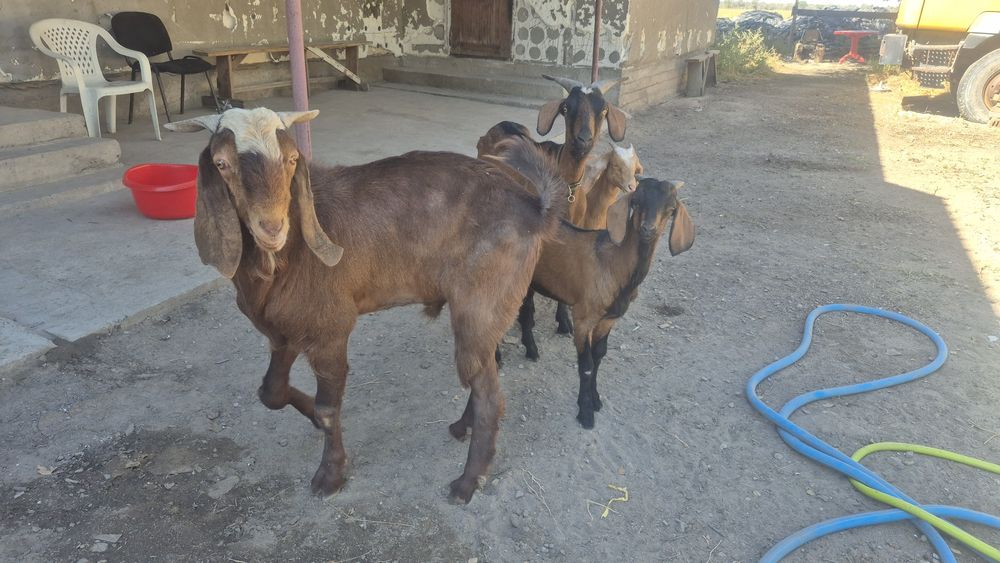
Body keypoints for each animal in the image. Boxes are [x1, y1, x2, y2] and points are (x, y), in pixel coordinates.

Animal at [165, 108, 565, 504]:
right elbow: (270, 392)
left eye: (292, 159)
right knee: (484, 374)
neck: (288, 254)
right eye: (221, 163)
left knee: (489, 395)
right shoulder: (285, 330)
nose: (272, 227)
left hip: (479, 306)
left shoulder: (330, 328)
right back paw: (460, 428)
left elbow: (328, 409)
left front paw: (330, 475)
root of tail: (533, 208)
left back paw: (467, 482)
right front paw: (309, 416)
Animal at [470, 164, 695, 429]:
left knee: (525, 311)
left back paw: (531, 349)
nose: (647, 230)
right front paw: (585, 412)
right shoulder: (583, 317)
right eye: (636, 202)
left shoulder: (608, 319)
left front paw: (595, 400)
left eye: (670, 209)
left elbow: (598, 357)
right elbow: (585, 364)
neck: (614, 265)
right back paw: (496, 357)